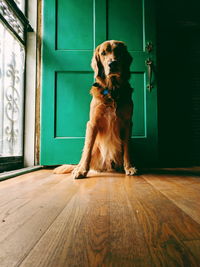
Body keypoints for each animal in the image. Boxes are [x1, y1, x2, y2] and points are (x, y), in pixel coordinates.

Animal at [54, 40, 137, 179]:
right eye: (103, 53)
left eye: (119, 52)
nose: (112, 63)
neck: (112, 91)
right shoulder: (93, 123)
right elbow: (88, 149)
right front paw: (82, 170)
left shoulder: (127, 123)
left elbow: (127, 149)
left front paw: (129, 167)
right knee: (84, 154)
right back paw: (77, 168)